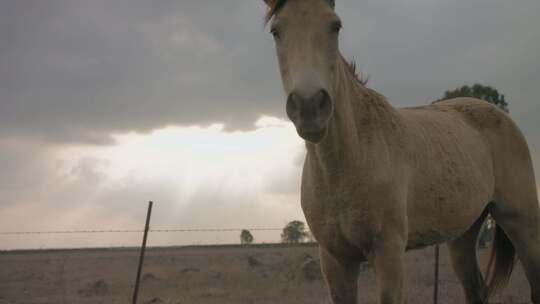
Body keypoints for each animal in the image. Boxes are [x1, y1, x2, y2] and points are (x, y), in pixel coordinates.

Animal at [262, 1, 540, 302]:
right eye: (276, 31)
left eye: (335, 26)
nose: (309, 105)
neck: (345, 164)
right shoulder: (335, 260)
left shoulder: (389, 254)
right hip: (463, 234)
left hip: (522, 223)